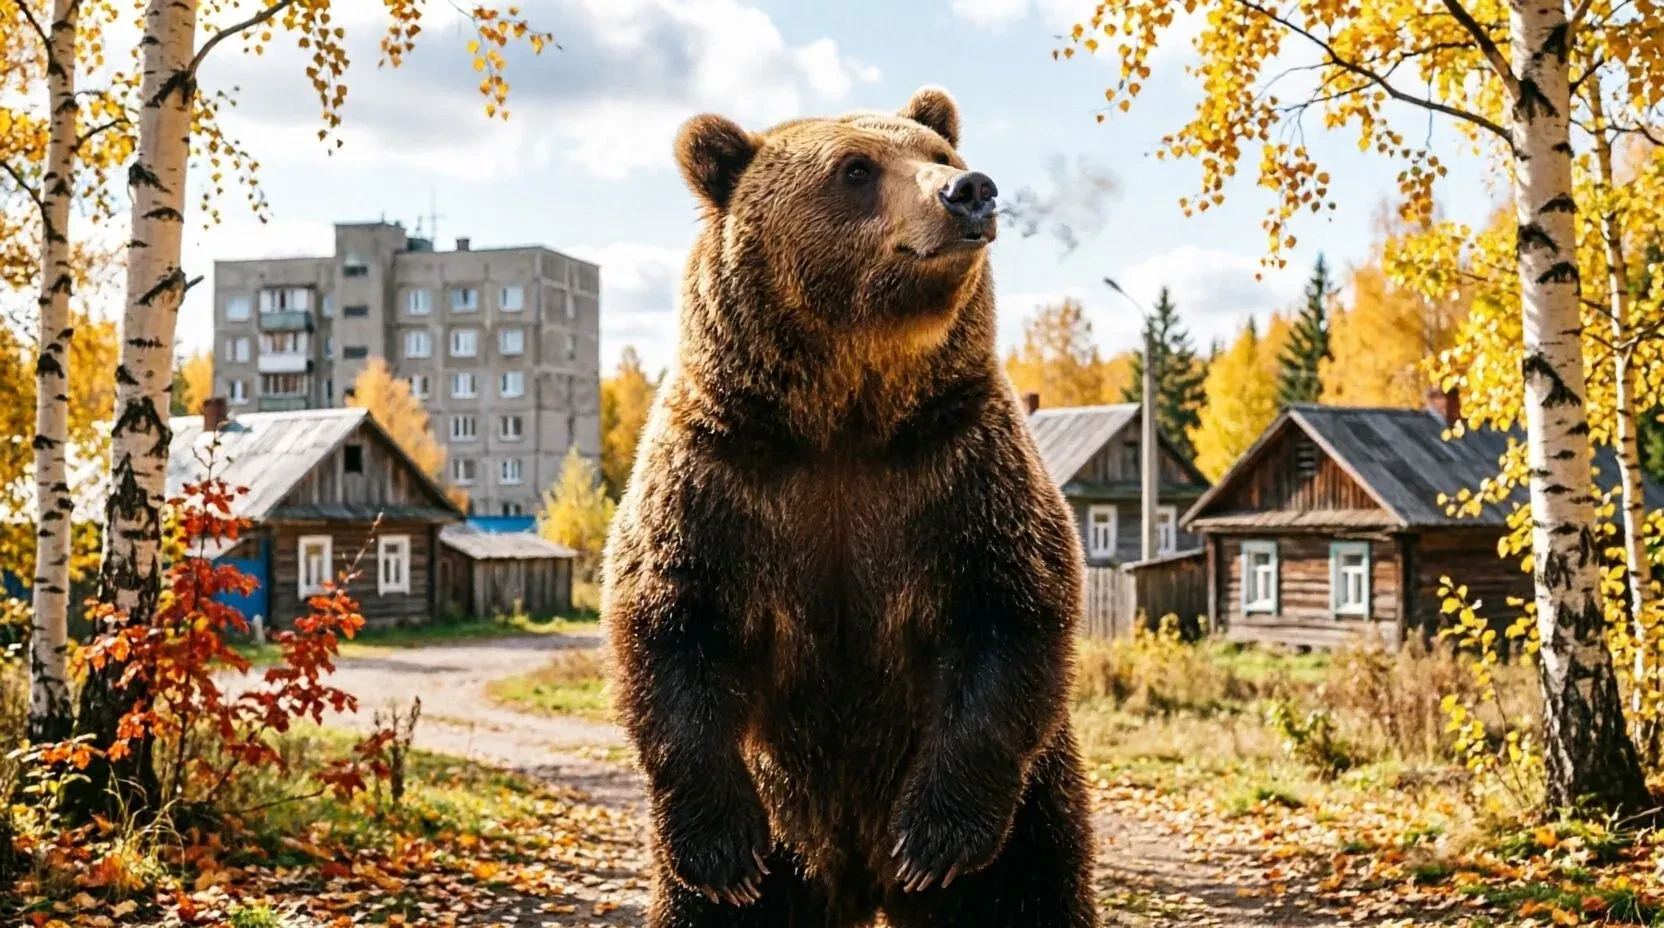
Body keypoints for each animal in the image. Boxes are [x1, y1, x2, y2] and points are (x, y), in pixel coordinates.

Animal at [602, 86, 1097, 928]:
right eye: (856, 168)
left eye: (941, 154)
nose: (970, 191)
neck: (844, 414)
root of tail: (856, 883)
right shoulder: (722, 476)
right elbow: (669, 621)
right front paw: (724, 855)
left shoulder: (956, 470)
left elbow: (1010, 607)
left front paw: (934, 840)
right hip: (782, 832)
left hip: (1035, 808)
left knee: (1029, 890)